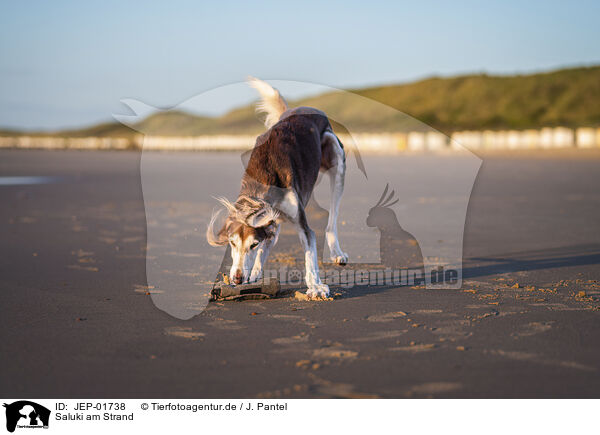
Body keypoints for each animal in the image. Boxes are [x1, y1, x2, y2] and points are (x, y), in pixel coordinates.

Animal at [206, 77, 346, 300]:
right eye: (232, 243)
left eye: (252, 244)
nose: (237, 279)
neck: (260, 184)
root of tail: (305, 108)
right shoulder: (270, 219)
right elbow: (266, 246)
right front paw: (254, 273)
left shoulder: (301, 224)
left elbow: (309, 254)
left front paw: (315, 286)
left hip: (336, 157)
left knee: (333, 216)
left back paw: (336, 252)